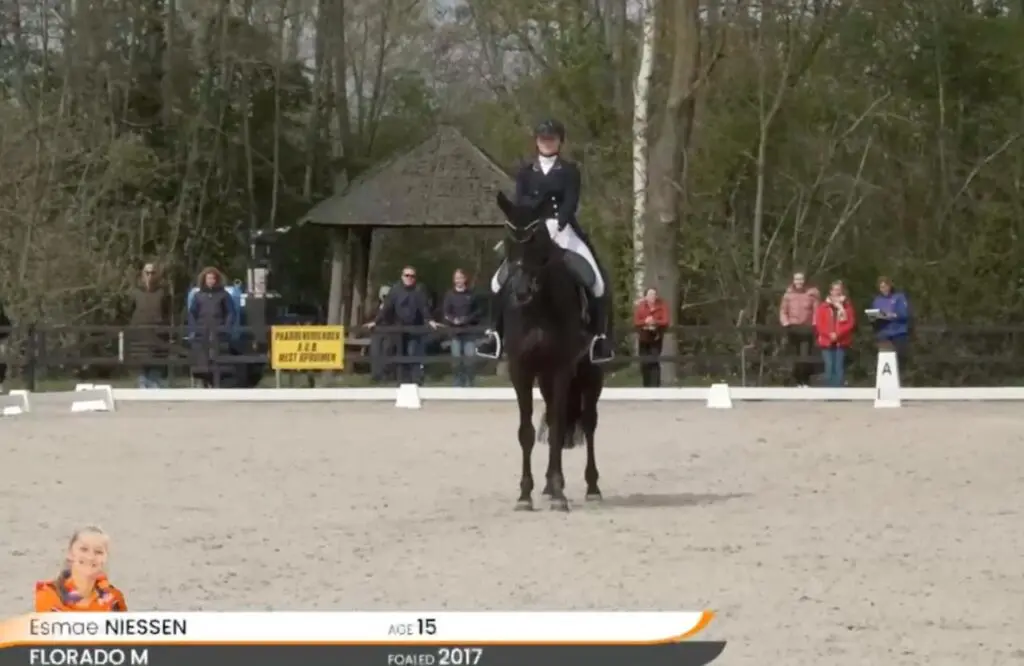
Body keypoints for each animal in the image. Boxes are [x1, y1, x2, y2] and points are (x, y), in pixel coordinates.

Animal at [495, 191, 604, 512]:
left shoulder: (561, 369)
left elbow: (556, 431)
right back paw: (547, 485)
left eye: (538, 240)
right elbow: (527, 432)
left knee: (589, 423)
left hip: (592, 372)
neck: (537, 308)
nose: (520, 292)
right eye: (508, 240)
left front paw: (558, 495)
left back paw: (592, 487)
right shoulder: (521, 370)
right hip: (543, 378)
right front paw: (525, 495)